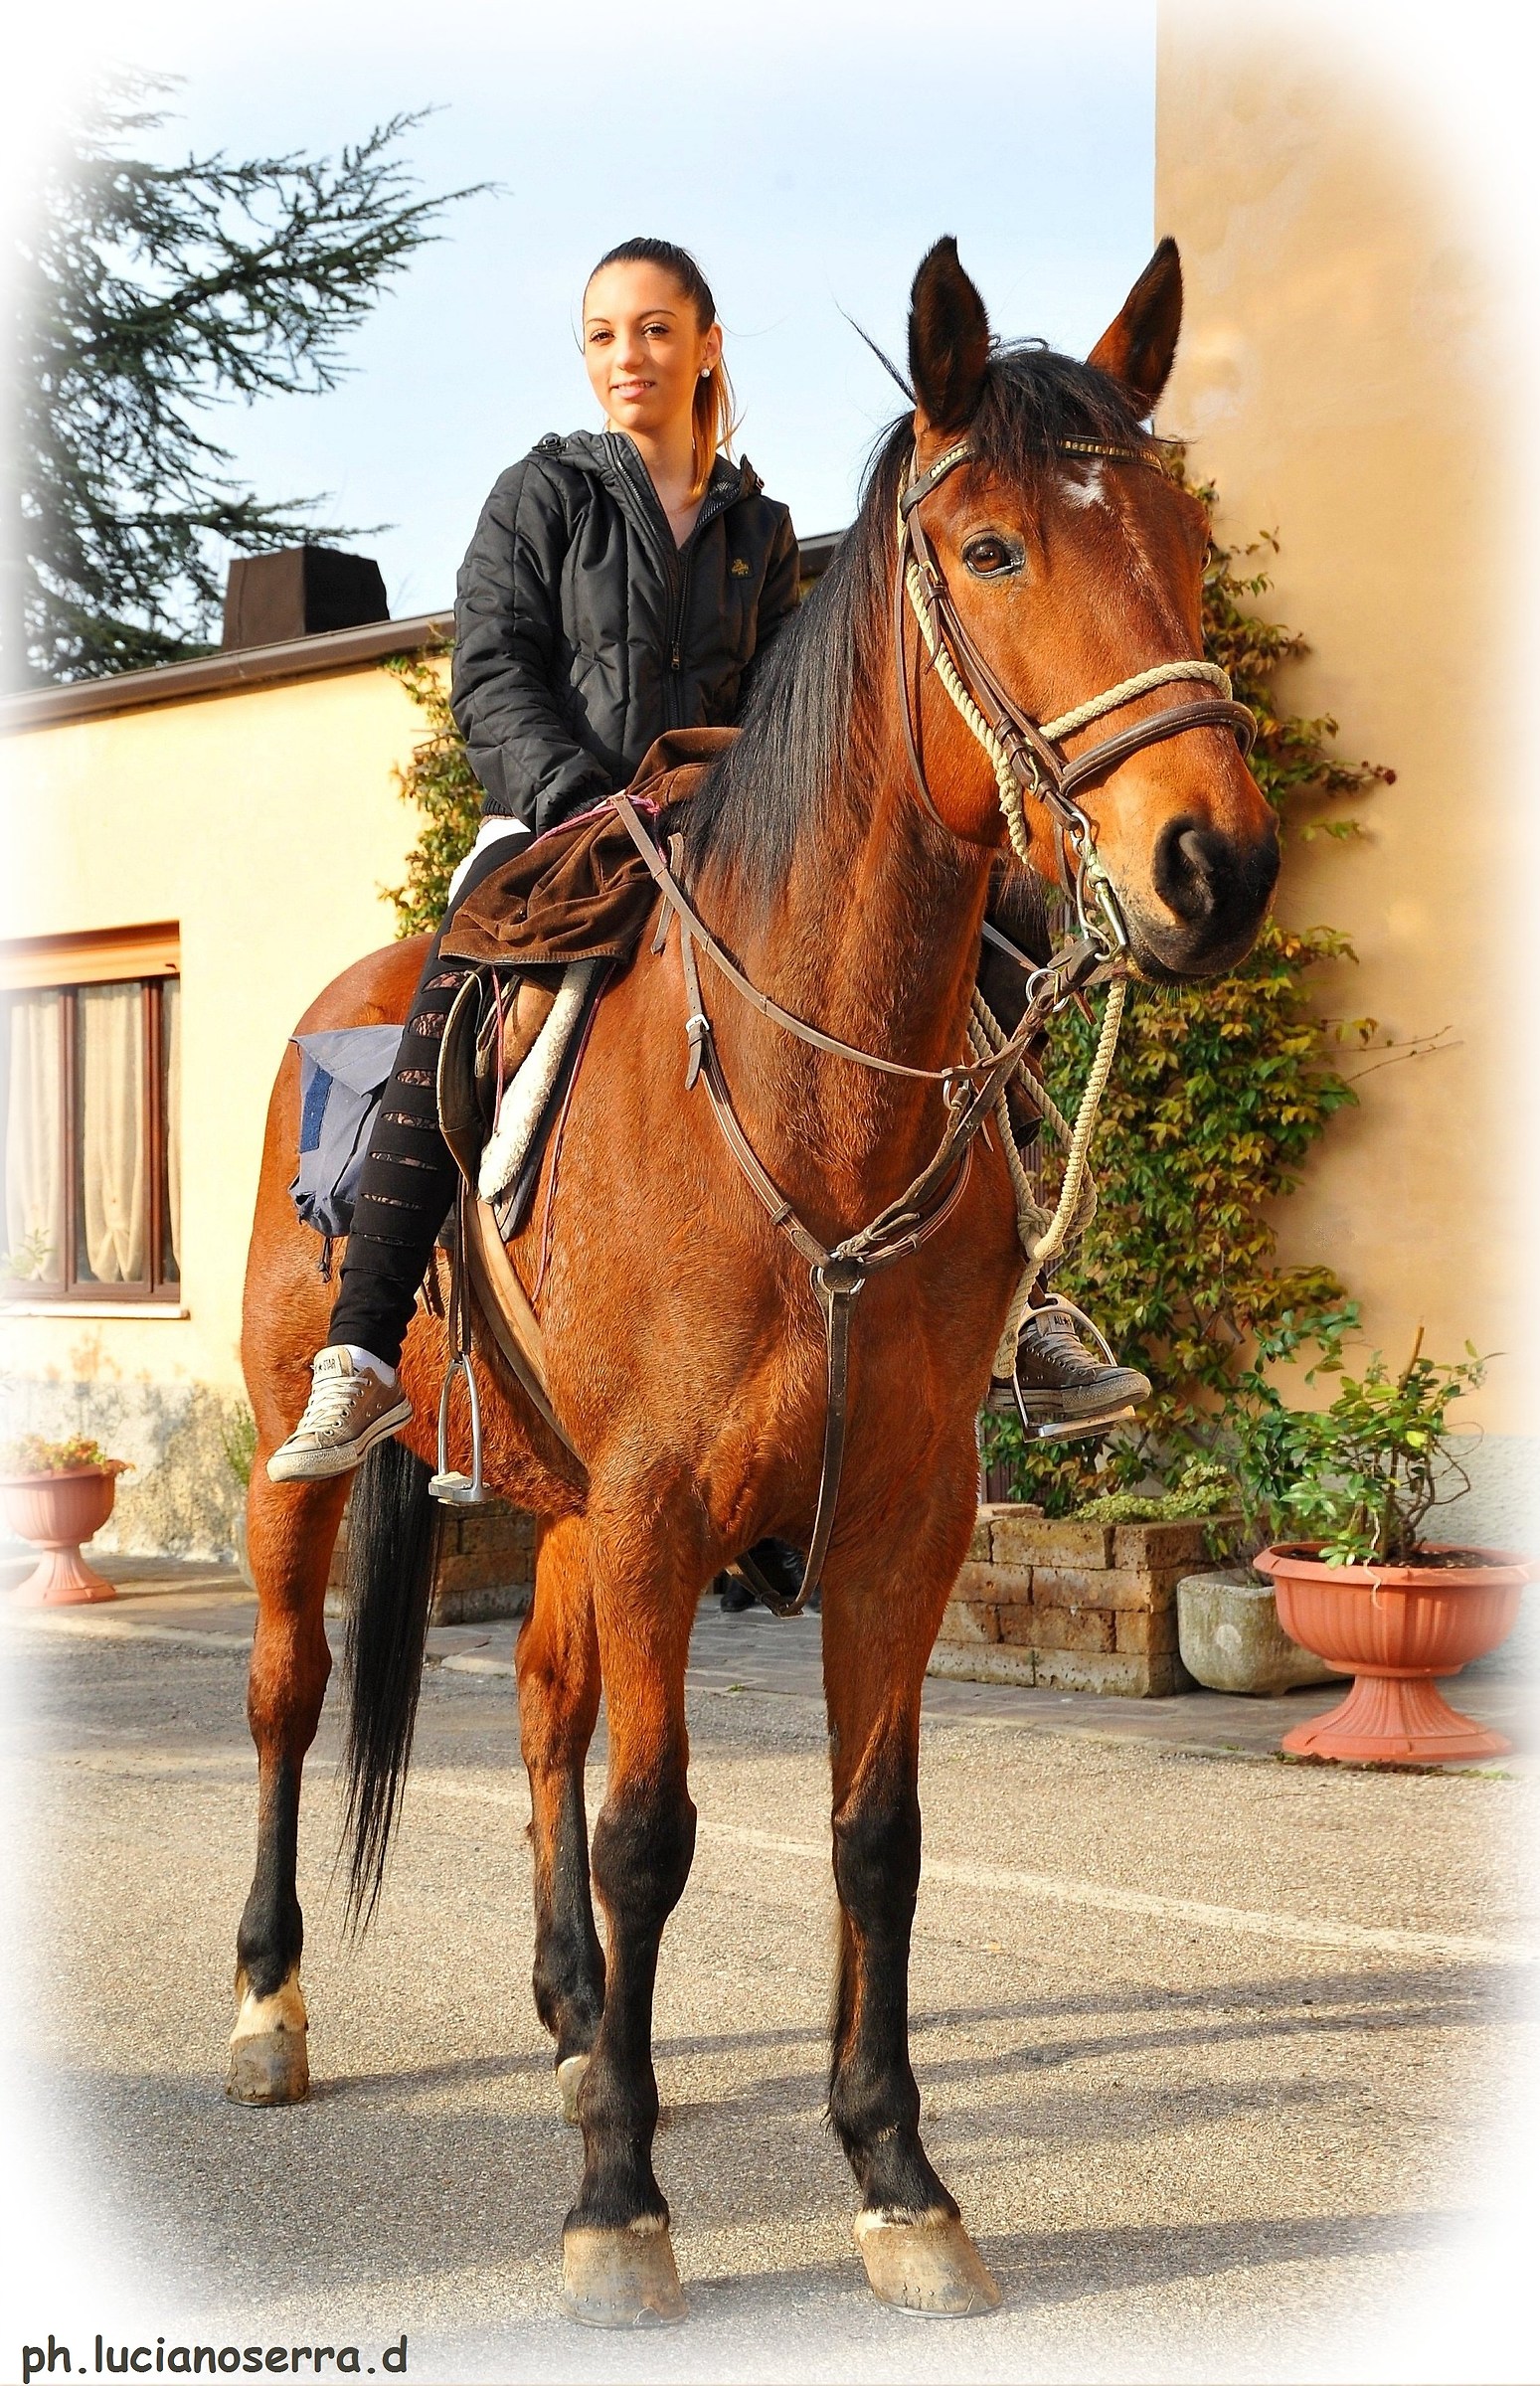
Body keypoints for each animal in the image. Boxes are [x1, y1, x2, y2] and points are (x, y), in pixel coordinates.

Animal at [232, 235, 1279, 2324]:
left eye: (1180, 535)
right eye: (986, 548)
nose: (1212, 864)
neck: (809, 1103)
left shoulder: (895, 1515)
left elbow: (872, 1836)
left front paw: (894, 2176)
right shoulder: (657, 1508)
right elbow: (653, 1832)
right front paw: (618, 2209)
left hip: (558, 1507)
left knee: (539, 1706)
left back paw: (573, 2025)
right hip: (311, 1474)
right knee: (292, 1690)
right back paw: (269, 2006)